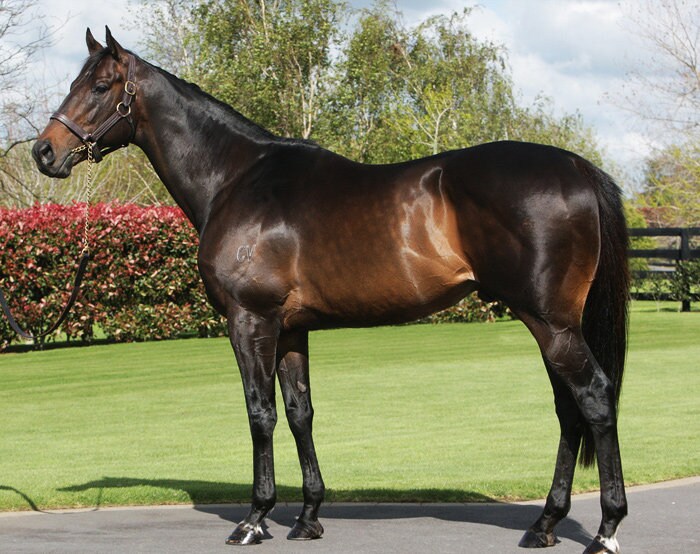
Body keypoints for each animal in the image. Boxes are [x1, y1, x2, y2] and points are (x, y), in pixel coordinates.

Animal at [32, 28, 629, 553]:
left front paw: (254, 519)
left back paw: (604, 529)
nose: (44, 152)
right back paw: (544, 525)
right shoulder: (291, 329)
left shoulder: (250, 321)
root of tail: (577, 167)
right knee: (569, 409)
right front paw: (308, 517)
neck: (237, 179)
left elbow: (260, 413)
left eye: (100, 85)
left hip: (550, 322)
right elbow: (301, 413)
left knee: (594, 398)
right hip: (550, 323)